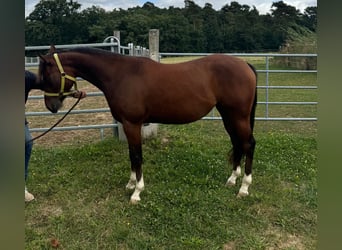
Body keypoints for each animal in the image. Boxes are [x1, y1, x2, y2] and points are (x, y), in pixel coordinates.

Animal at [38, 46, 256, 203]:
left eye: (46, 76)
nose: (51, 106)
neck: (120, 74)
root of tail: (245, 64)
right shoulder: (129, 125)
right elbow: (131, 155)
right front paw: (130, 183)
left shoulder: (132, 124)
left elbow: (136, 156)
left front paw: (137, 192)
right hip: (228, 115)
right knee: (237, 143)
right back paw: (232, 179)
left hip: (238, 116)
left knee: (249, 144)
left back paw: (244, 187)